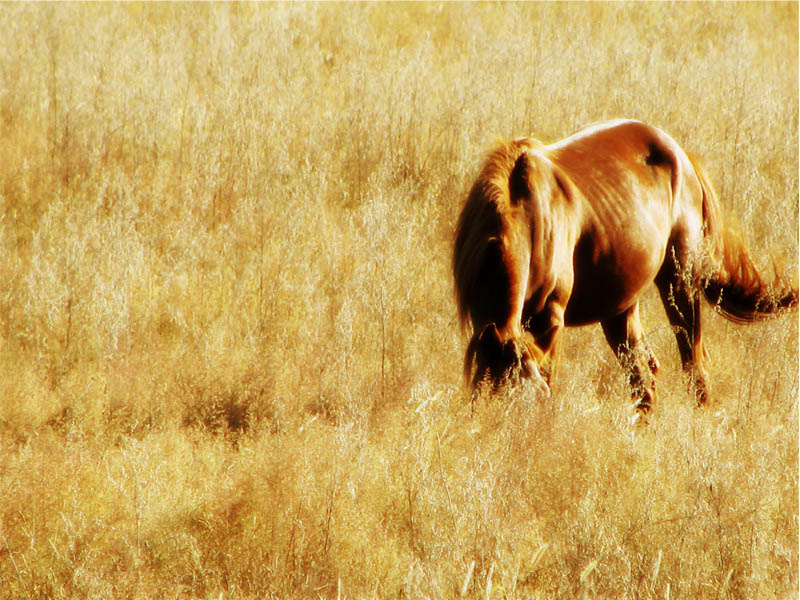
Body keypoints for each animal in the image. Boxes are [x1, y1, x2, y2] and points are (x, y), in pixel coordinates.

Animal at [454, 119, 796, 410]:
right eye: (483, 396)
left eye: (534, 399)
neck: (527, 213)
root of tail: (680, 154)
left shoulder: (549, 318)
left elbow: (549, 372)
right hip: (621, 307)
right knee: (644, 376)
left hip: (679, 284)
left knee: (694, 367)